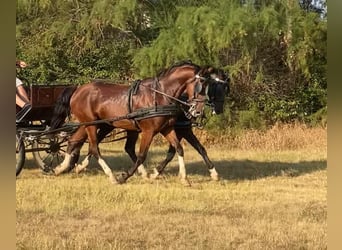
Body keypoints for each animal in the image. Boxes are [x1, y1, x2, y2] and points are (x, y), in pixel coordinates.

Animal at [50, 61, 216, 185]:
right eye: (201, 84)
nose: (198, 111)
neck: (160, 95)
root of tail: (78, 89)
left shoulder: (167, 128)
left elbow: (179, 149)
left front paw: (184, 178)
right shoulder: (149, 131)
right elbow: (142, 155)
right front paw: (124, 176)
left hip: (93, 124)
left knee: (74, 141)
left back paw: (61, 168)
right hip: (91, 124)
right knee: (94, 148)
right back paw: (111, 176)